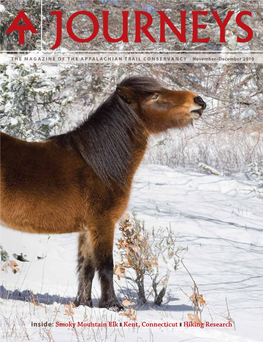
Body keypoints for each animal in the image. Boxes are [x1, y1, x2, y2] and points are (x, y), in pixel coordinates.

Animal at [0, 76, 206, 312]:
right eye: (155, 96)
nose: (198, 101)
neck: (98, 165)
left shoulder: (87, 229)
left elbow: (86, 267)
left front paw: (84, 304)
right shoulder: (103, 224)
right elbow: (106, 265)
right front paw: (113, 305)